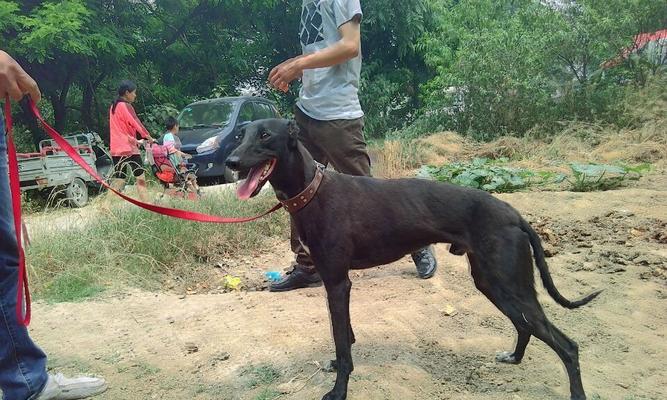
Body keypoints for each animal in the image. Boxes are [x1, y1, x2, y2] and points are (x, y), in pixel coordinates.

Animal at [227, 119, 604, 400]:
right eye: (239, 135)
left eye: (265, 135)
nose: (230, 162)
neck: (313, 191)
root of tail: (514, 213)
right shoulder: (336, 283)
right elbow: (344, 337)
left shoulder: (337, 283)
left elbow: (343, 344)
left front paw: (338, 390)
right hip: (493, 283)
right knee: (525, 325)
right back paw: (513, 357)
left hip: (511, 284)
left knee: (567, 345)